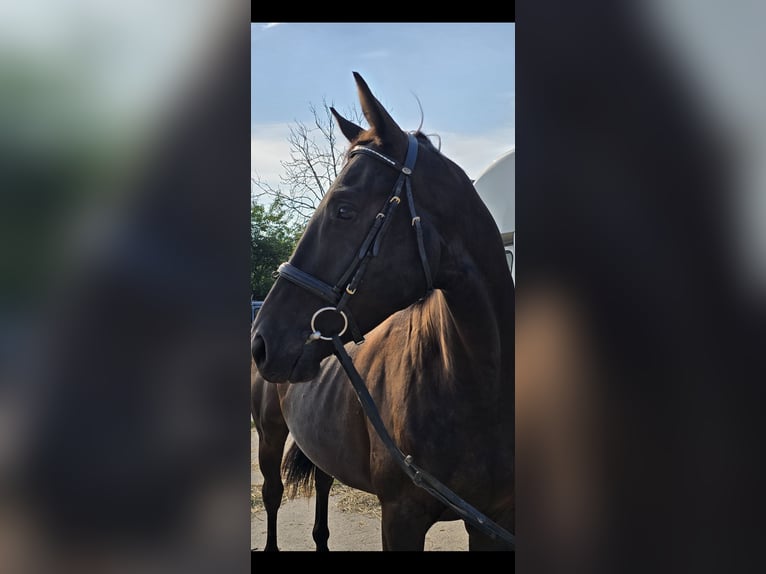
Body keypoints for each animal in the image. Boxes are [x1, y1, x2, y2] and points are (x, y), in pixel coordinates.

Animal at [252, 73, 516, 552]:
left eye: (343, 209)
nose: (260, 342)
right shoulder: (400, 517)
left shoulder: (493, 521)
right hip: (267, 433)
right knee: (272, 494)